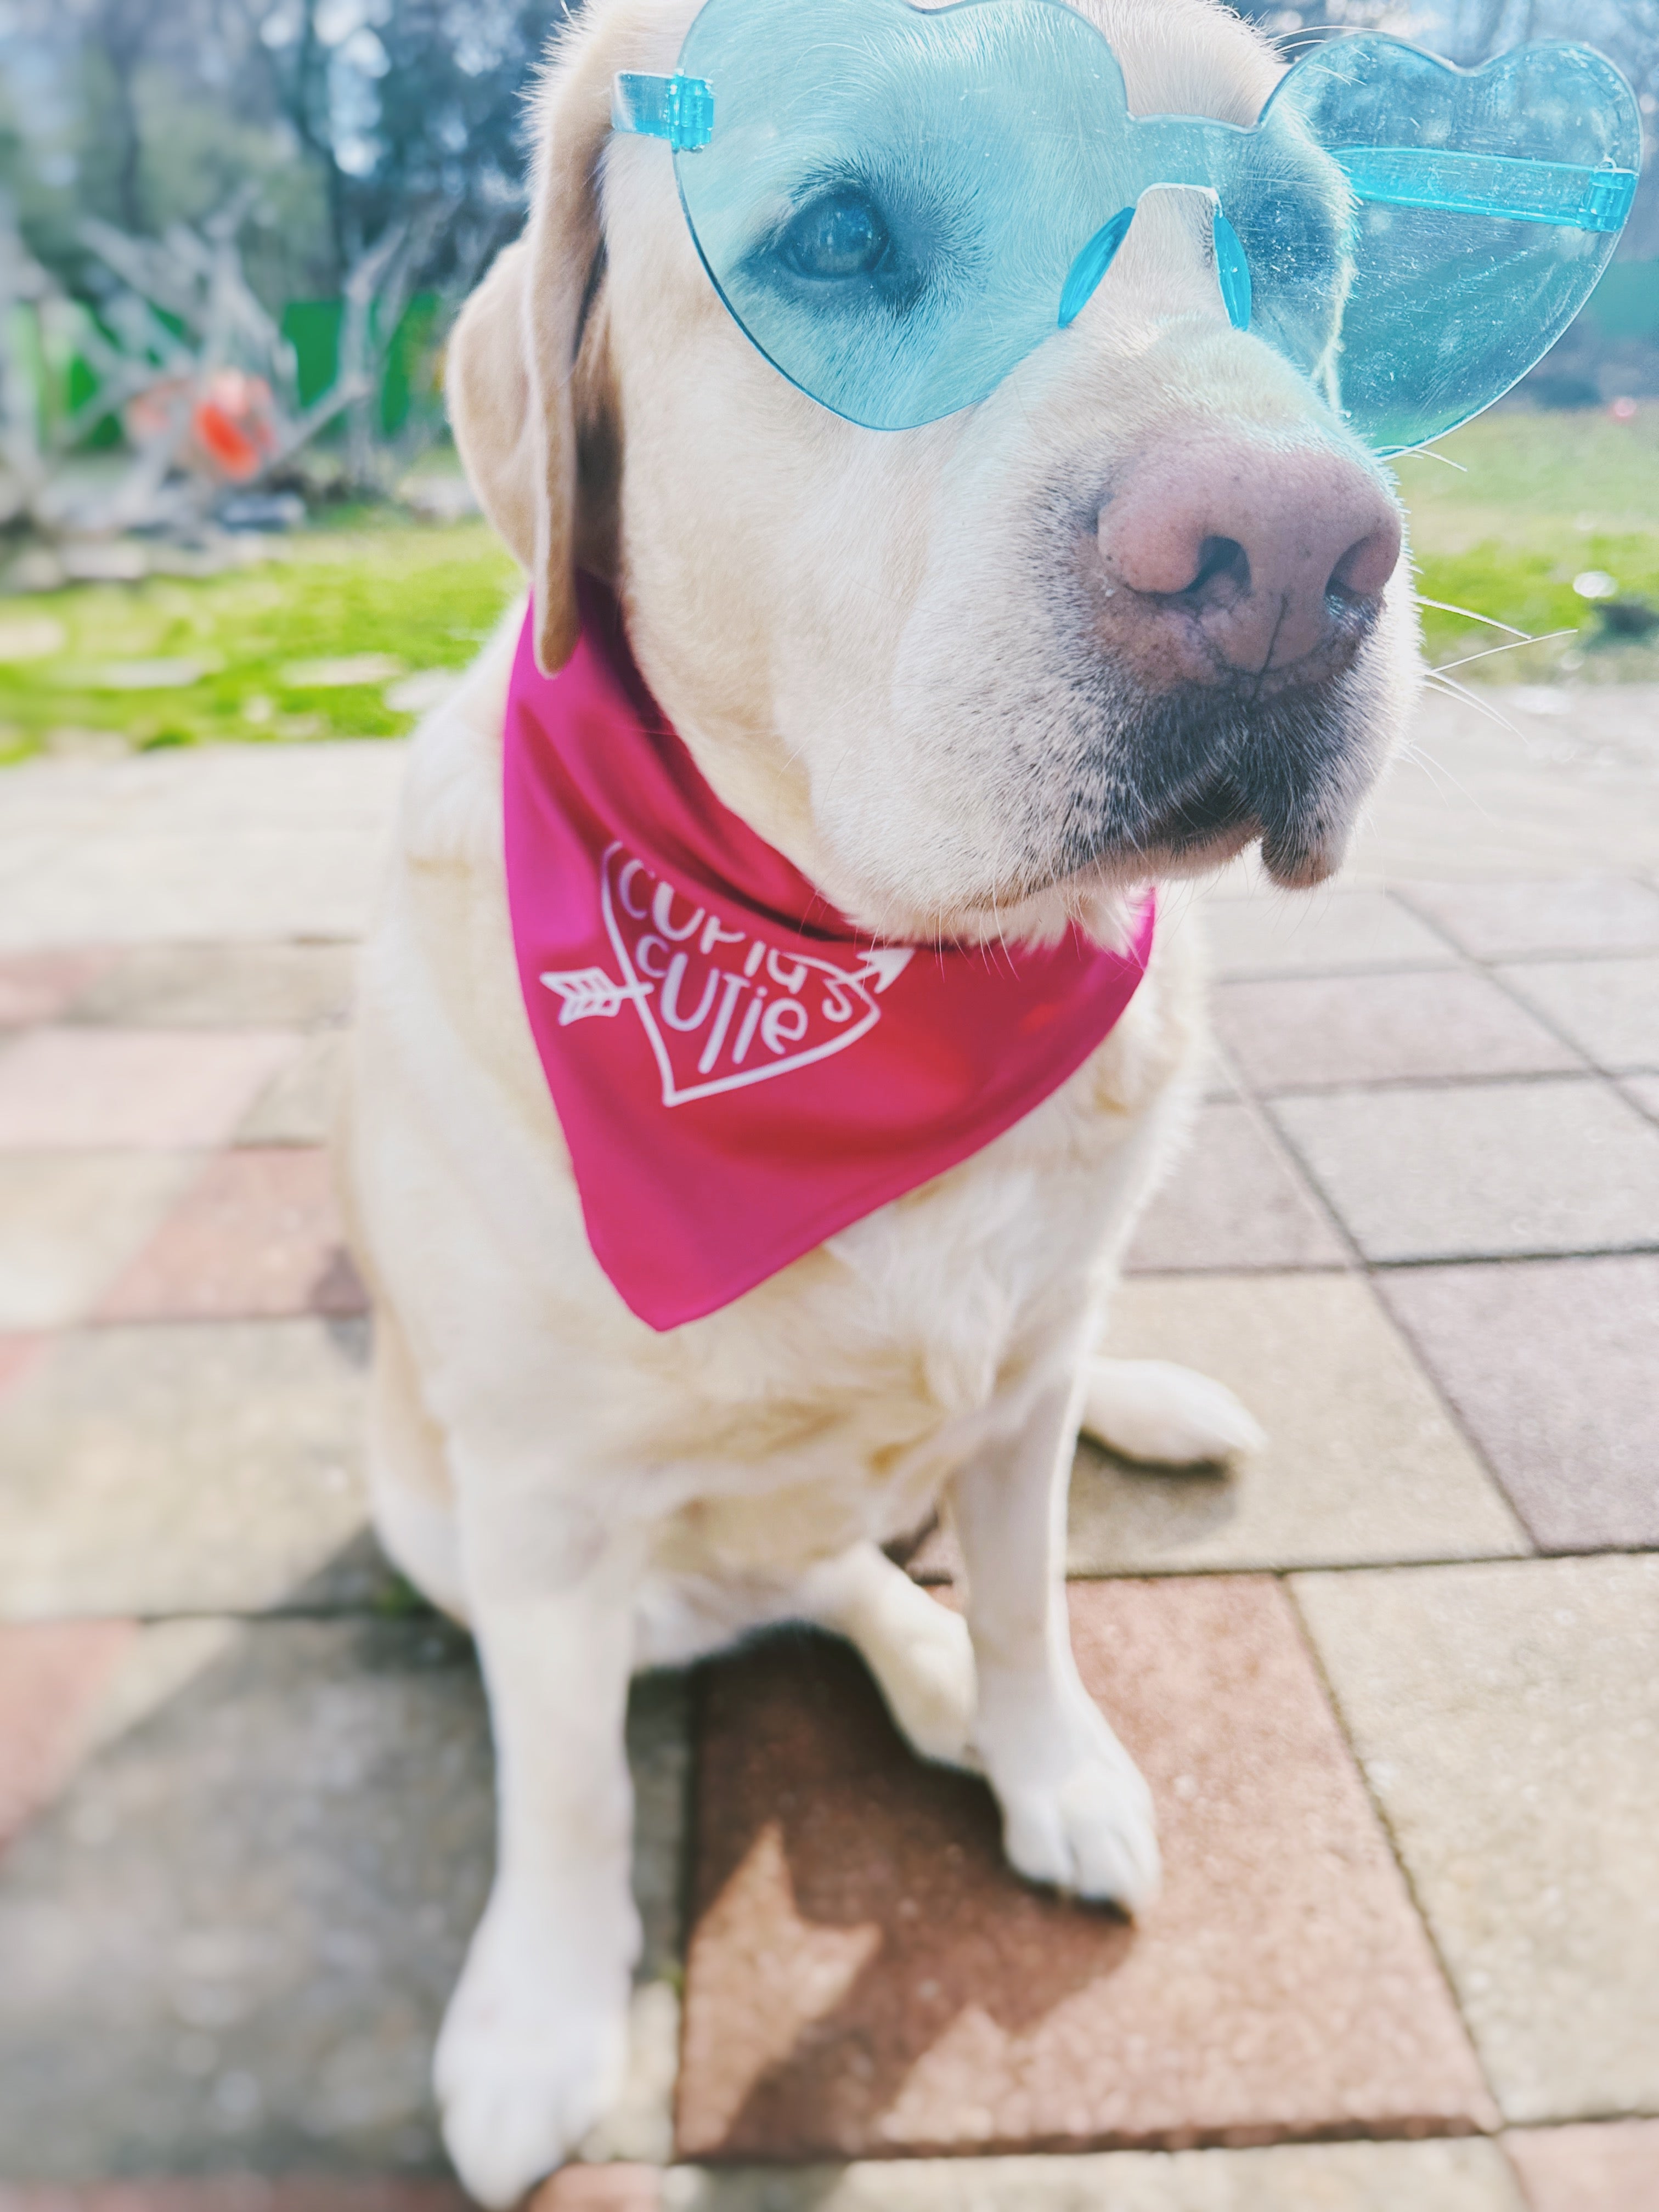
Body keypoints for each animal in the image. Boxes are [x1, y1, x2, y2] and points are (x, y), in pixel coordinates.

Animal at [345, 0, 1424, 2185]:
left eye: (1291, 244)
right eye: (839, 238)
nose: (1289, 552)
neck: (865, 988)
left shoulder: (1014, 1408)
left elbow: (1030, 1604)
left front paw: (1045, 1754)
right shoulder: (538, 1526)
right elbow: (568, 1788)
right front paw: (537, 2017)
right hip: (427, 1503)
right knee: (809, 1566)